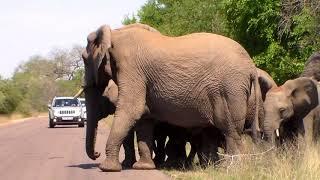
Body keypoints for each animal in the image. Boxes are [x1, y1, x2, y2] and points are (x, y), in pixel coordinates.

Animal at [84, 23, 262, 172]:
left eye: (84, 60)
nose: (97, 154)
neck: (115, 33)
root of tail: (251, 66)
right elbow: (143, 117)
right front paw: (144, 167)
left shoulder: (132, 69)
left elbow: (132, 109)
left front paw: (108, 169)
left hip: (230, 90)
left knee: (230, 130)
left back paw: (231, 169)